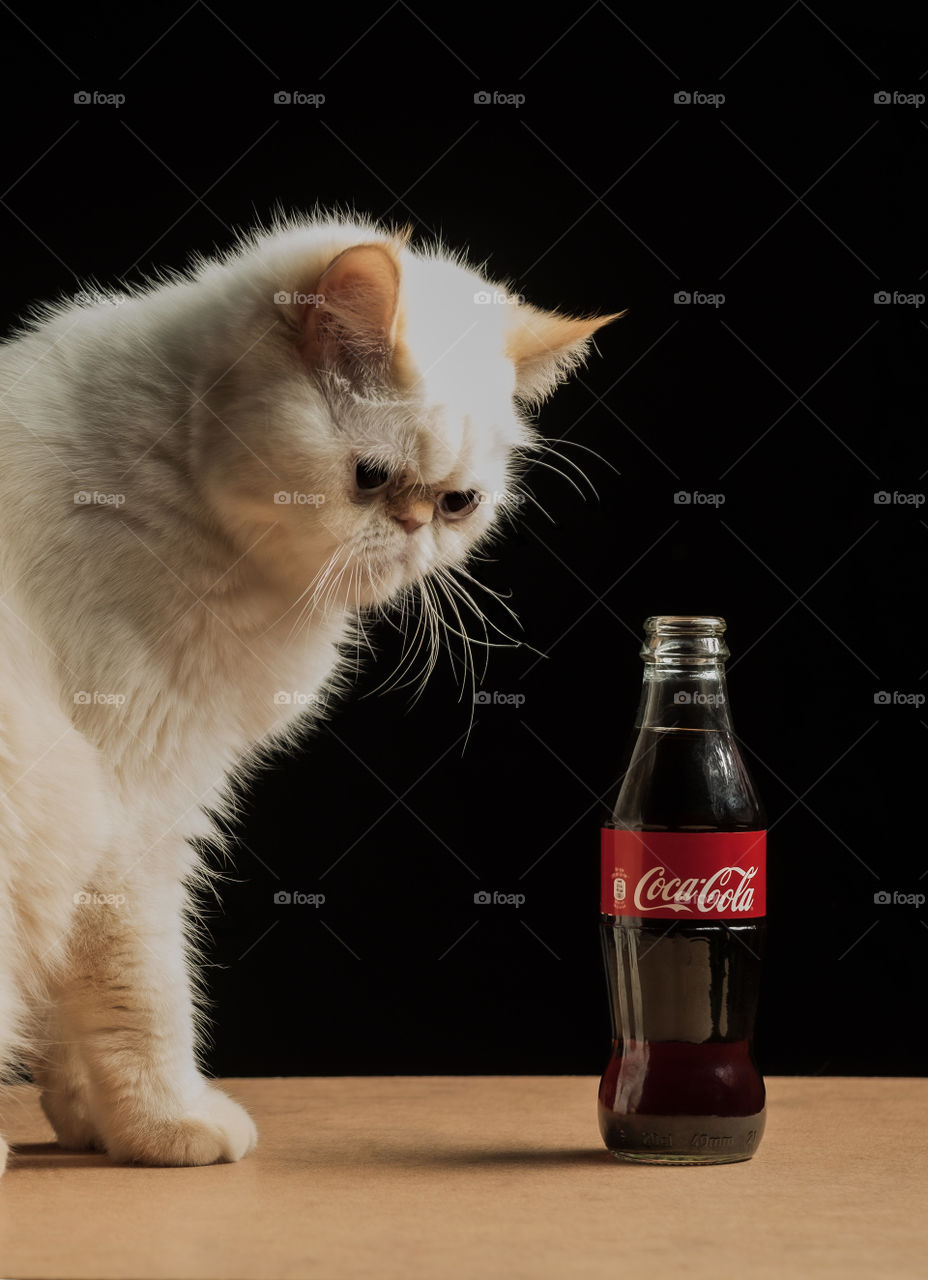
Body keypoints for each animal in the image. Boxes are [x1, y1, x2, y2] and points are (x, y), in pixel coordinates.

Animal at [0, 212, 619, 1172]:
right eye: (370, 477)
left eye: (457, 504)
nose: (412, 528)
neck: (165, 470)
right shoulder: (130, 812)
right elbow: (146, 997)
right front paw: (168, 1124)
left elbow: (67, 1015)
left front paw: (89, 1125)